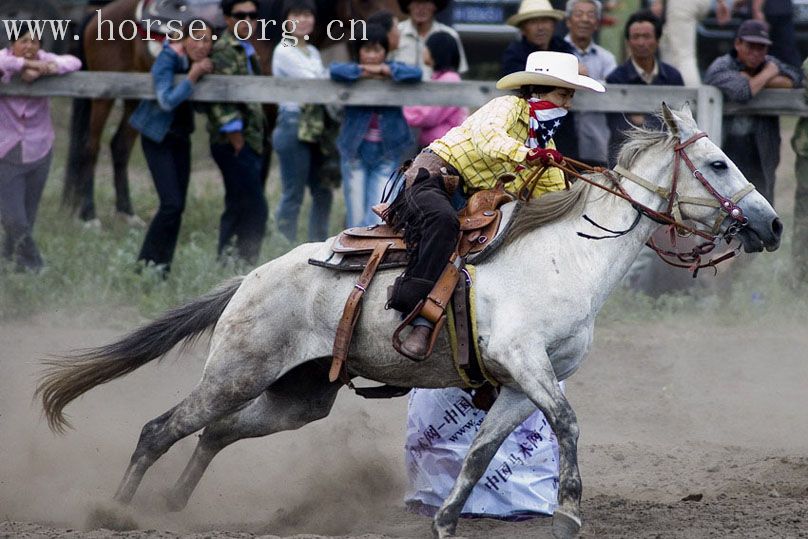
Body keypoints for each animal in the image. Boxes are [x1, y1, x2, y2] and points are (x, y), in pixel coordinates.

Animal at [39, 106, 784, 539]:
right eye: (718, 162)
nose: (774, 224)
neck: (567, 254)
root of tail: (250, 279)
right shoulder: (528, 362)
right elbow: (569, 424)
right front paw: (570, 511)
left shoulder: (522, 382)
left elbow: (482, 449)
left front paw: (449, 519)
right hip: (236, 371)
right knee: (160, 428)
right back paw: (116, 513)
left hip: (298, 395)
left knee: (215, 432)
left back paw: (171, 505)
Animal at [61, 0, 402, 224]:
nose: (393, 26)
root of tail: (97, 15)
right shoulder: (266, 112)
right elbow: (258, 168)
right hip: (103, 95)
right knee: (90, 147)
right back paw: (89, 215)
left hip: (135, 97)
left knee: (119, 145)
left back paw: (127, 213)